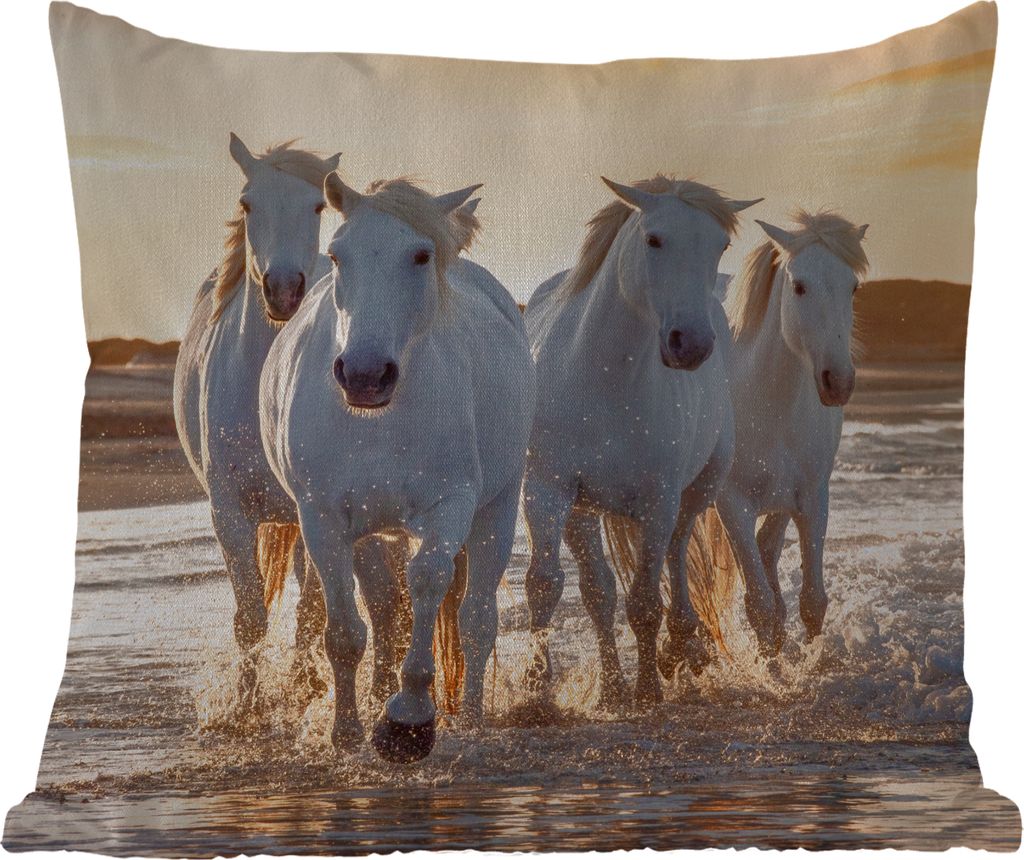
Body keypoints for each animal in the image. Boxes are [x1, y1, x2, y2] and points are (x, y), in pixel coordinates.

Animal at [173, 134, 407, 710]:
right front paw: (247, 706)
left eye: (317, 207)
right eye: (247, 204)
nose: (283, 290)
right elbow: (251, 619)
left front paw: (304, 688)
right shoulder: (230, 515)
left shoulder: (317, 514)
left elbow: (312, 610)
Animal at [259, 174, 535, 762]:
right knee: (385, 615)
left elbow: (429, 581)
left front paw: (408, 720)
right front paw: (347, 732)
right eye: (336, 255)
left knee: (477, 619)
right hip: (371, 533)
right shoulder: (323, 520)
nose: (365, 375)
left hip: (496, 511)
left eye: (421, 255)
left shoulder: (448, 506)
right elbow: (346, 631)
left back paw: (470, 720)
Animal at [521, 175, 760, 710]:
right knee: (599, 591)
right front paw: (536, 692)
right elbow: (547, 586)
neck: (603, 377)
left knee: (675, 553)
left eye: (720, 245)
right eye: (654, 239)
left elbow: (646, 601)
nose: (691, 344)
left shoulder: (658, 500)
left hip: (698, 490)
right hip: (585, 510)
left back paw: (682, 645)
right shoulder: (548, 490)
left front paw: (649, 688)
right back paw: (613, 686)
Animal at [690, 211, 869, 657]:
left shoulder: (811, 497)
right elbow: (760, 606)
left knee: (768, 549)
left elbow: (812, 601)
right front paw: (771, 666)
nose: (838, 382)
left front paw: (810, 660)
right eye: (799, 285)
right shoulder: (732, 504)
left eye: (853, 286)